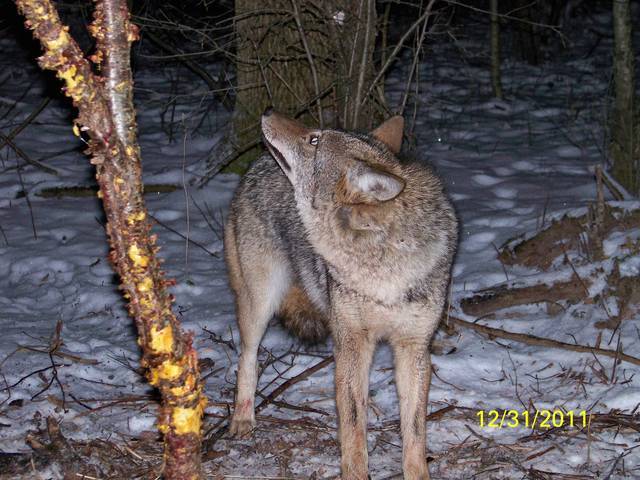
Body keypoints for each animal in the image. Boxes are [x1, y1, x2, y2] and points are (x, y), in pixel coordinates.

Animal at [224, 109, 458, 479]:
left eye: (314, 139)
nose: (267, 112)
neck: (382, 267)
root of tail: (256, 164)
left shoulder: (414, 348)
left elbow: (414, 432)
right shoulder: (351, 344)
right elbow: (352, 426)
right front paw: (355, 473)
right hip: (259, 302)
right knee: (247, 356)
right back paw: (243, 418)